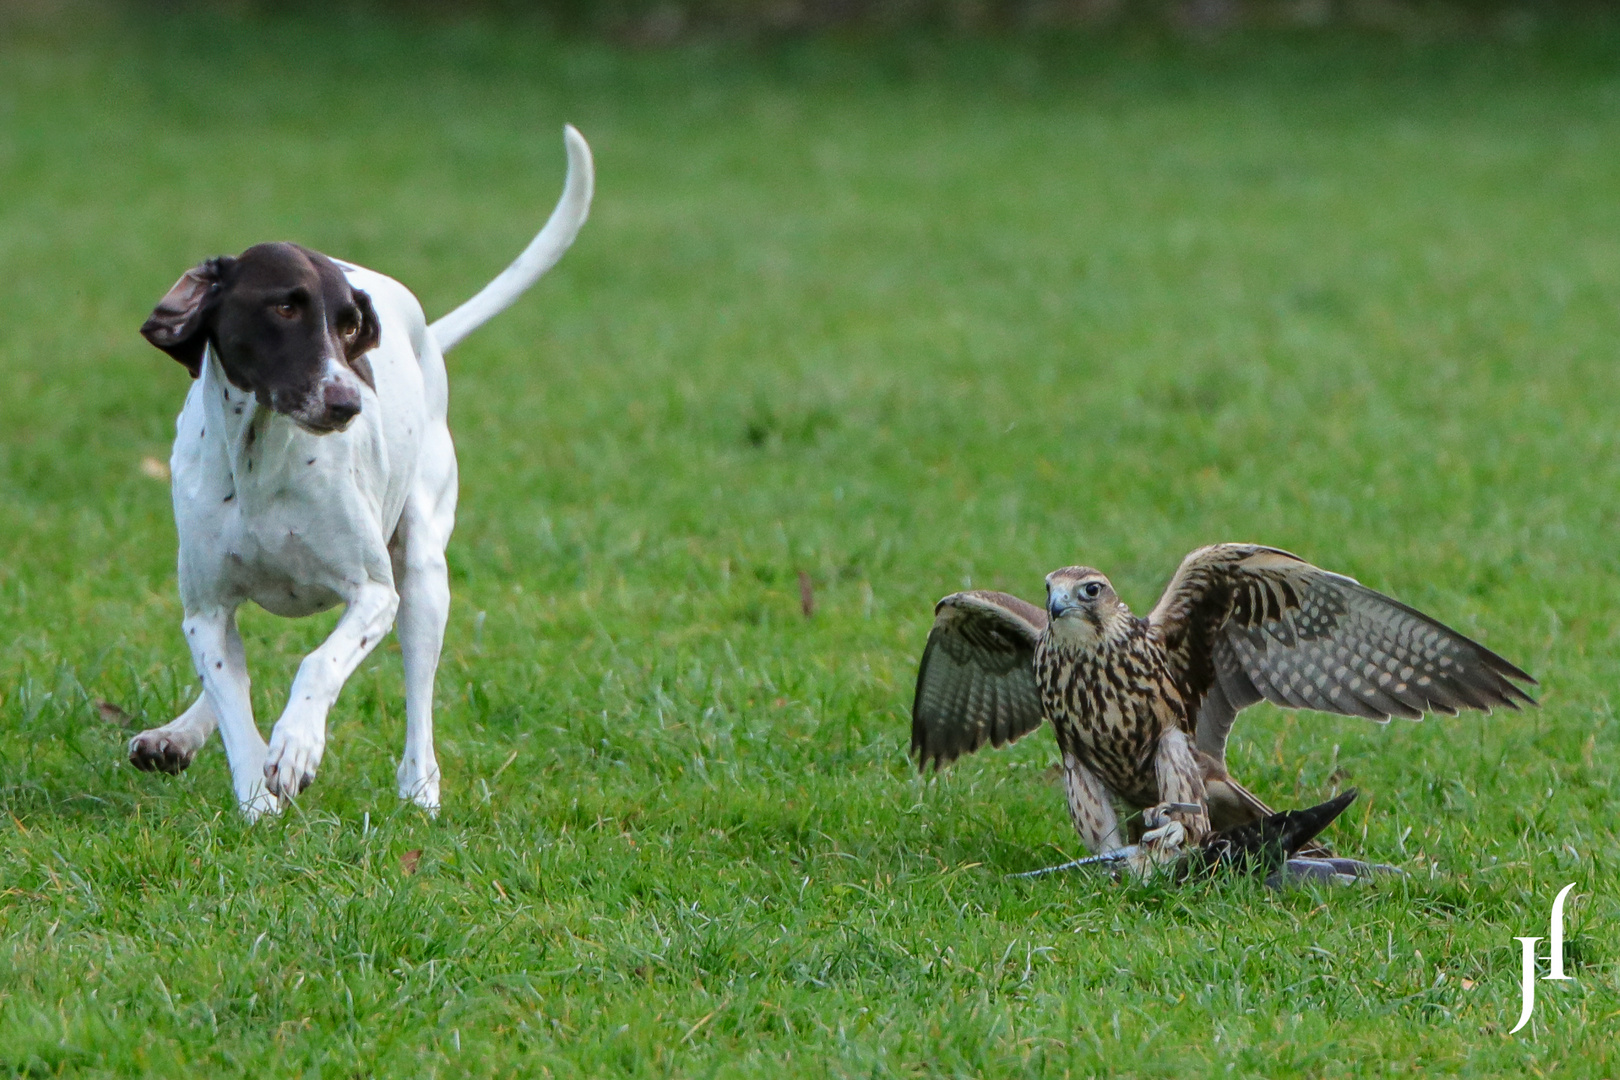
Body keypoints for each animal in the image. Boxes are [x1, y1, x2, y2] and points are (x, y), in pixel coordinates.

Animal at [127, 124, 596, 819]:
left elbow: (317, 665)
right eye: (284, 309)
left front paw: (297, 745)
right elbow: (234, 708)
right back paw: (181, 733)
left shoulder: (375, 594)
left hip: (423, 576)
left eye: (349, 327)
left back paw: (419, 788)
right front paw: (255, 797)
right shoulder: (205, 612)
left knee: (417, 694)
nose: (349, 402)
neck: (261, 461)